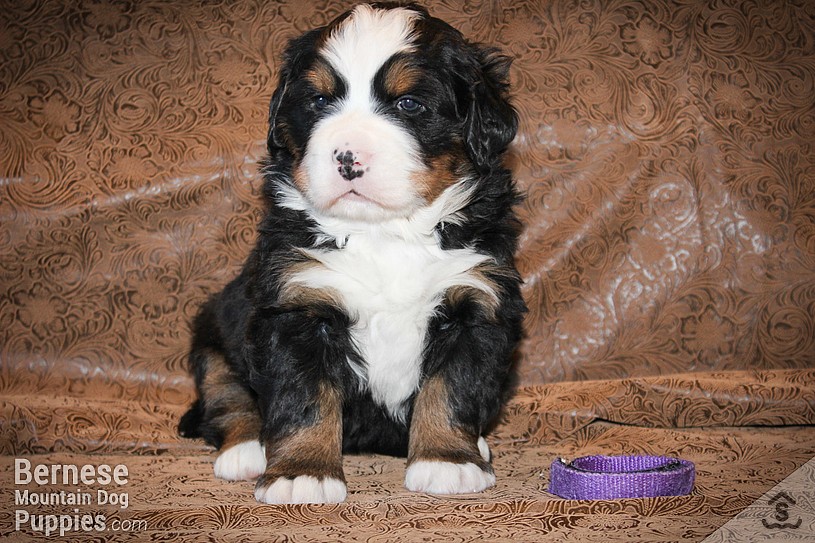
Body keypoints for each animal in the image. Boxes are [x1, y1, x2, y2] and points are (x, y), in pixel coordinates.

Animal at [179, 1, 524, 506]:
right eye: (320, 101)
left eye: (408, 104)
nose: (347, 158)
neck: (385, 233)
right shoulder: (297, 306)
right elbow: (305, 401)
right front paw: (302, 473)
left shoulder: (475, 304)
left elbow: (451, 390)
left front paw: (448, 460)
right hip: (214, 332)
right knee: (227, 398)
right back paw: (245, 451)